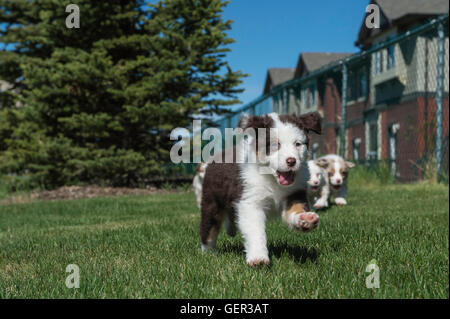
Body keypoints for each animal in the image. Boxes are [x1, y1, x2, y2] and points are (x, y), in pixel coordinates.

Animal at [199, 112, 322, 268]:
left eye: (298, 144)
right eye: (275, 145)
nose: (291, 161)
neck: (272, 179)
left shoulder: (295, 192)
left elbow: (295, 210)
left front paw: (305, 219)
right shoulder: (250, 201)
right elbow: (255, 230)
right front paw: (258, 258)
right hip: (212, 201)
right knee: (209, 227)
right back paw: (209, 253)